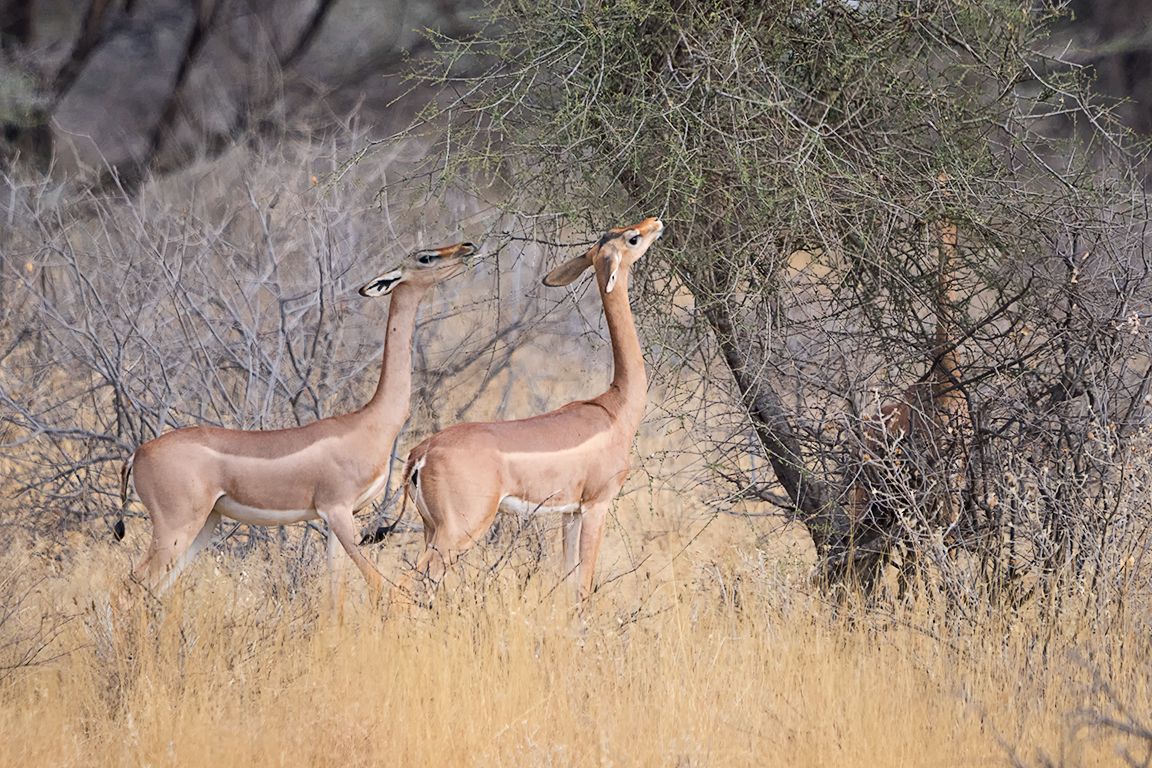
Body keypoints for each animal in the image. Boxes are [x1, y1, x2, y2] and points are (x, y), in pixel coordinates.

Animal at [117, 241, 478, 603]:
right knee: (132, 584)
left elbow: (336, 592)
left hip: (205, 523)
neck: (370, 423)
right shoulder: (338, 510)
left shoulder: (339, 519)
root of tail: (137, 454)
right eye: (425, 257)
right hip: (175, 527)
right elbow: (376, 582)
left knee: (155, 587)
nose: (467, 247)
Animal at [392, 217, 664, 600]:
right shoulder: (596, 506)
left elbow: (569, 583)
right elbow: (584, 587)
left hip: (431, 529)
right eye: (633, 239)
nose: (655, 221)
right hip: (459, 530)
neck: (614, 407)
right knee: (404, 585)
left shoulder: (570, 512)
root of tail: (420, 454)